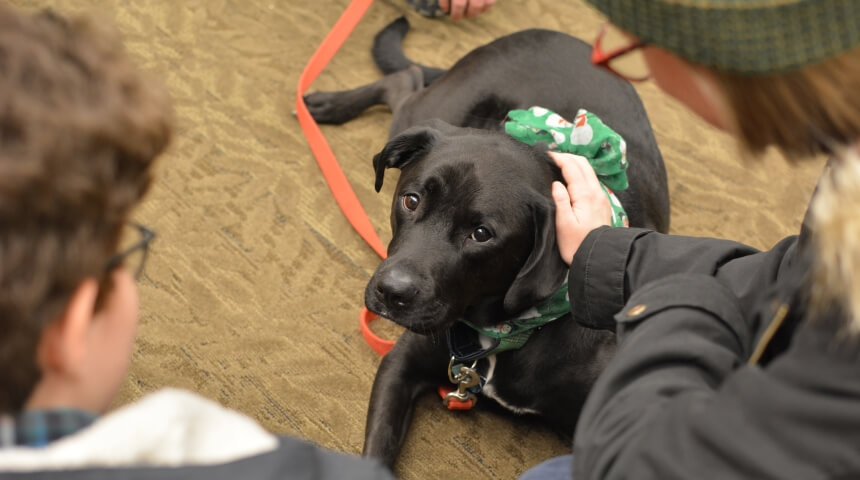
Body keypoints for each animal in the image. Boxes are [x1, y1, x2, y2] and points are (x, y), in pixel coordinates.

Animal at [306, 17, 668, 464]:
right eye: (411, 200)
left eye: (481, 235)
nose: (391, 293)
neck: (500, 332)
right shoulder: (401, 364)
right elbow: (377, 450)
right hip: (437, 111)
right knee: (405, 80)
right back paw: (329, 104)